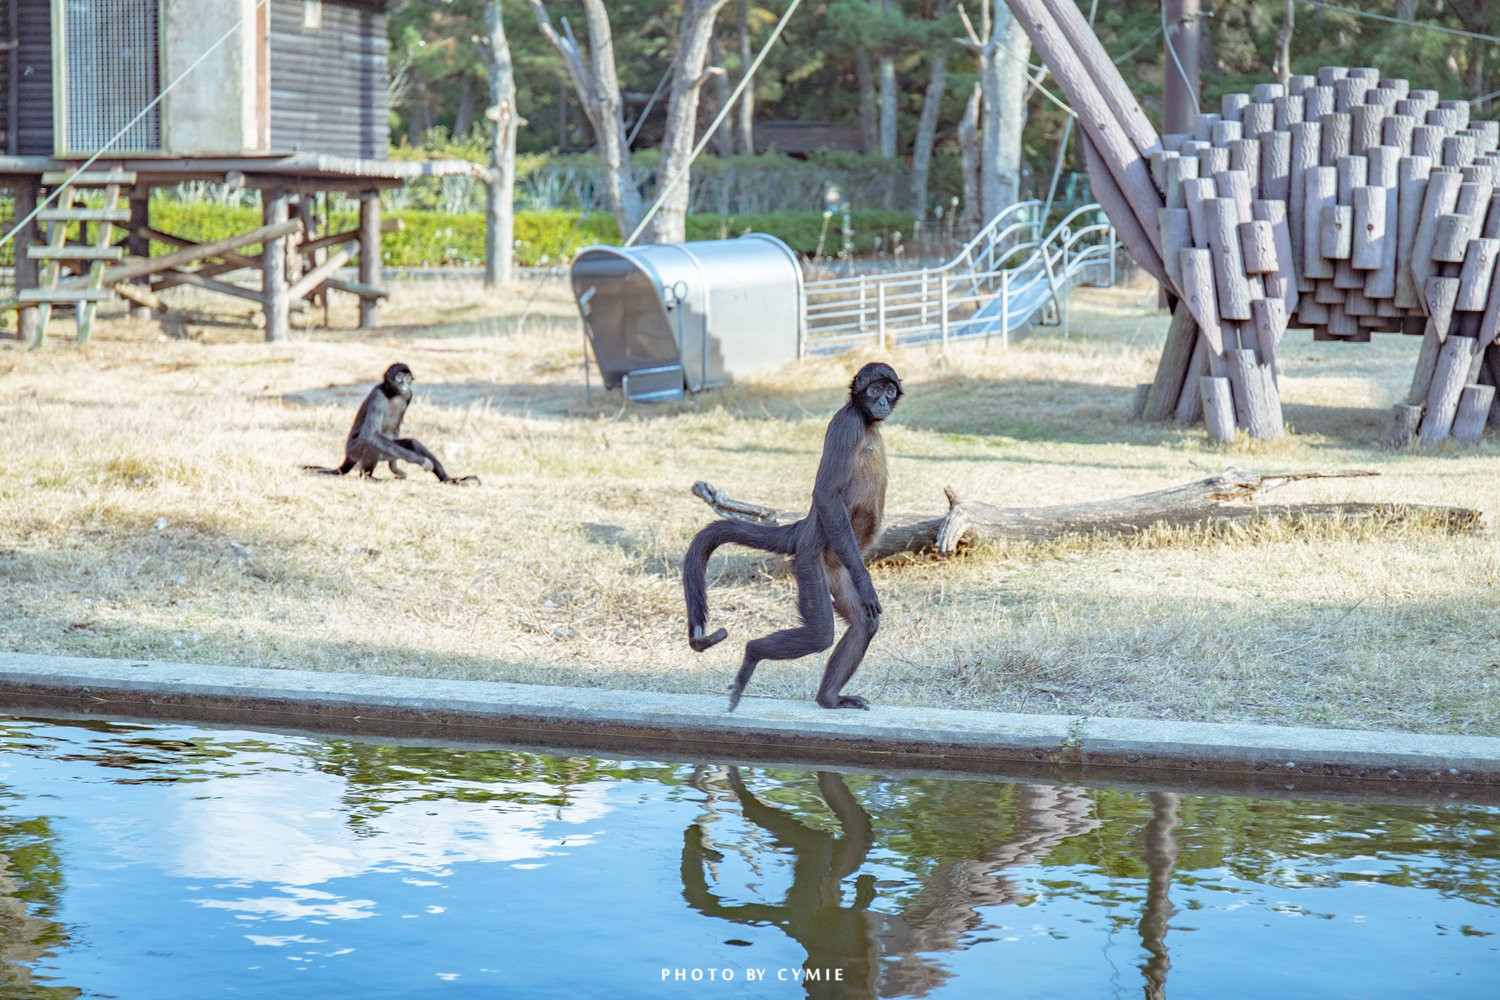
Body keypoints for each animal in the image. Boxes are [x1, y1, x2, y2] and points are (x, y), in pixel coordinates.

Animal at [297, 364, 474, 485]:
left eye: (407, 378)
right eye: (399, 378)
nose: (405, 384)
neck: (393, 394)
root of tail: (347, 457)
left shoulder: (408, 395)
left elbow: (397, 430)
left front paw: (395, 468)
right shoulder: (378, 396)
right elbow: (369, 435)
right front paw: (422, 461)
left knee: (411, 442)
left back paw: (448, 479)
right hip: (355, 451)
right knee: (370, 442)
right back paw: (368, 477)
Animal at [684, 359, 900, 710]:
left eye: (889, 391)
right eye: (874, 390)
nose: (882, 402)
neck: (867, 422)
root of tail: (805, 527)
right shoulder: (847, 425)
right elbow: (826, 493)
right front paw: (868, 585)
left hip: (837, 567)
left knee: (863, 624)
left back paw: (829, 699)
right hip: (811, 562)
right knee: (821, 633)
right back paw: (753, 653)